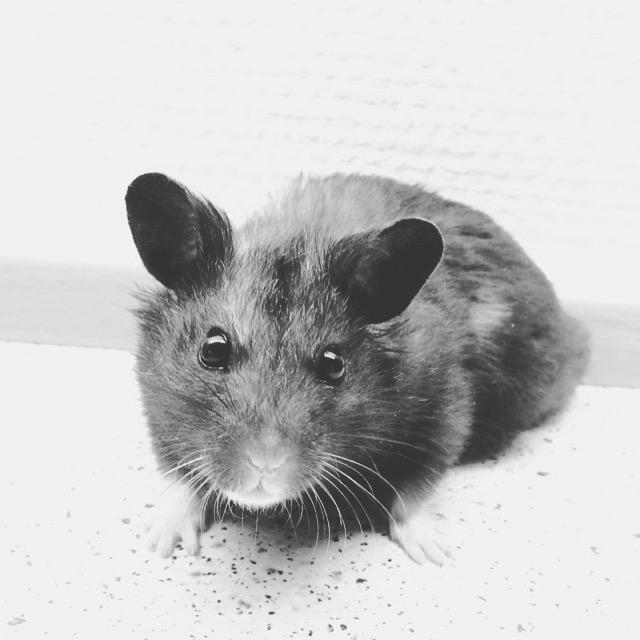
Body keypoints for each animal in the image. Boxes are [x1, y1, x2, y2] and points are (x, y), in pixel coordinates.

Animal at [125, 172, 589, 563]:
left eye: (334, 365)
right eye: (213, 349)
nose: (265, 467)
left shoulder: (443, 411)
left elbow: (417, 490)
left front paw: (433, 553)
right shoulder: (157, 413)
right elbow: (178, 477)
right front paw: (160, 544)